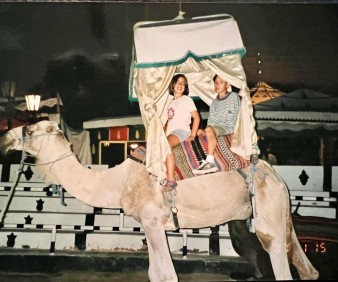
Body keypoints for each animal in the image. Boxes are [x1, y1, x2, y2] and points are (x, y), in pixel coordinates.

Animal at [0, 120, 318, 280]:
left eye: (29, 129)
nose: (4, 138)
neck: (117, 181)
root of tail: (274, 175)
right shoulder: (149, 225)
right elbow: (155, 273)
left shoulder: (153, 222)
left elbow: (166, 274)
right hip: (270, 213)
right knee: (304, 265)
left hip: (265, 210)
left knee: (276, 253)